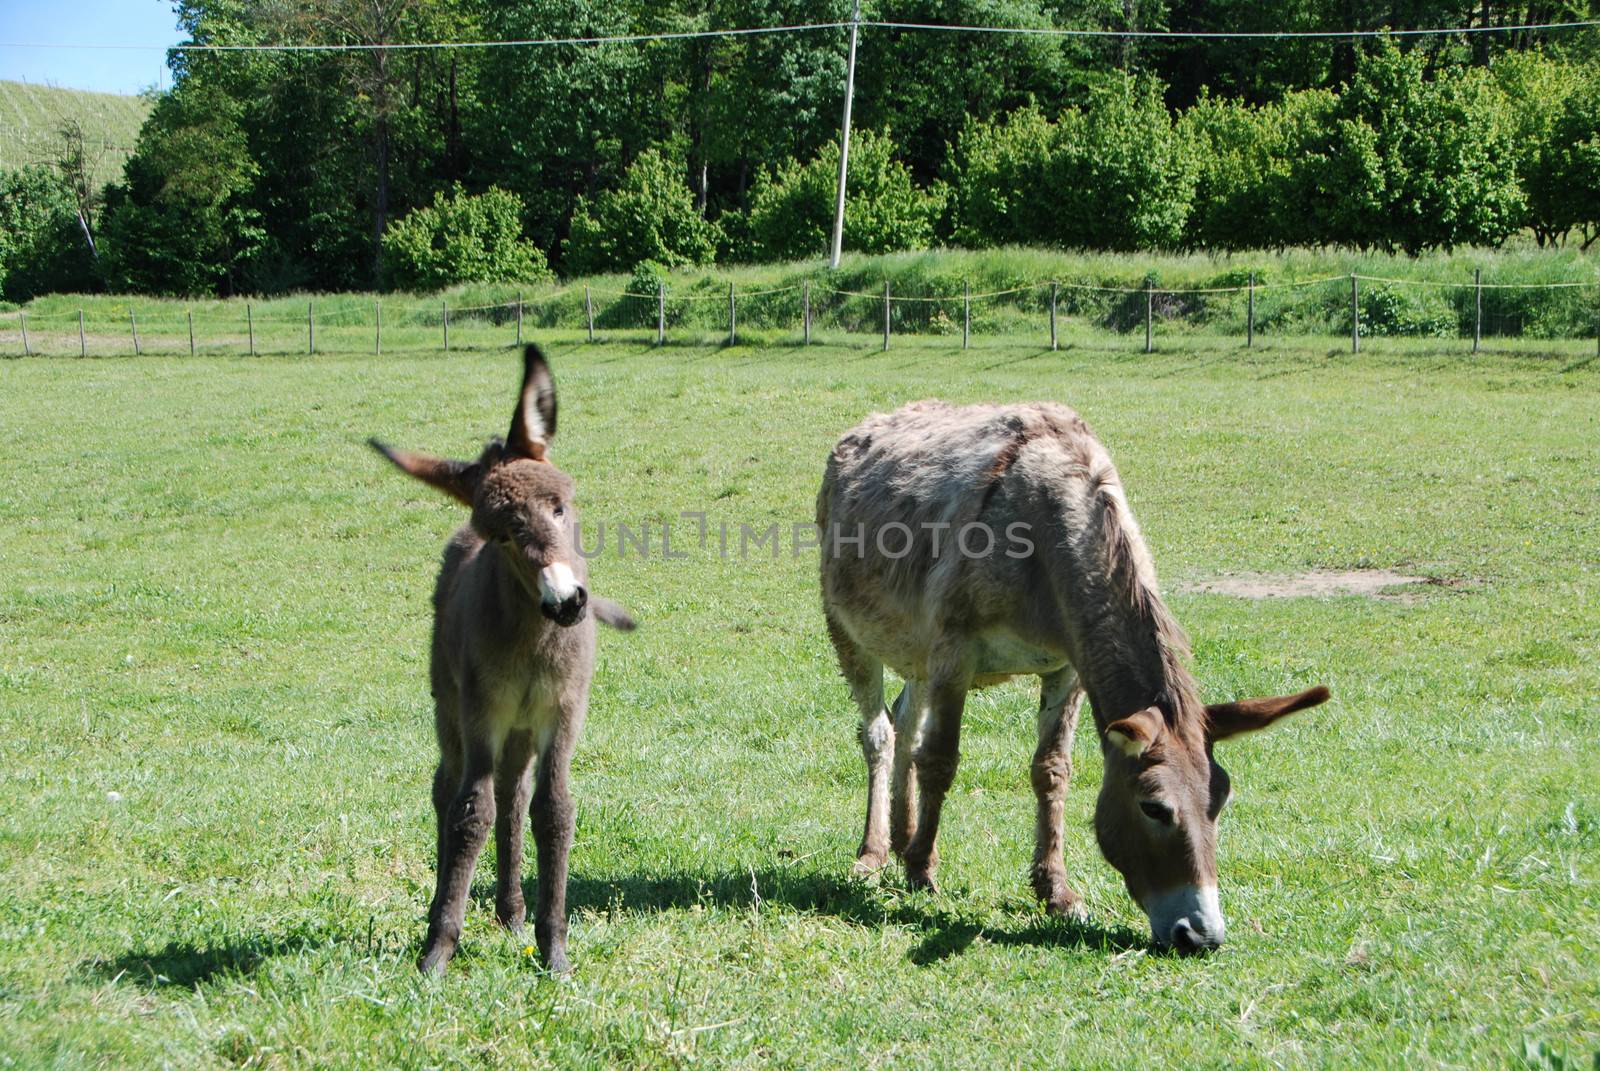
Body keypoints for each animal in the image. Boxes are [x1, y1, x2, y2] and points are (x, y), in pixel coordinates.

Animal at [369, 347, 630, 973]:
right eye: (503, 535)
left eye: (559, 507)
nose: (567, 602)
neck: (534, 638)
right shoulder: (483, 710)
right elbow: (471, 812)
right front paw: (437, 951)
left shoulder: (563, 711)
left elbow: (553, 811)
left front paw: (553, 951)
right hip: (454, 709)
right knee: (449, 789)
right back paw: (447, 906)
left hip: (521, 727)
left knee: (514, 797)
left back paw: (511, 913)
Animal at [819, 400, 1331, 954]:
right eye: (1154, 808)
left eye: (1221, 801)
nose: (1201, 936)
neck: (1044, 538)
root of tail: (872, 423)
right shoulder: (955, 652)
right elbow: (940, 760)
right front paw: (921, 869)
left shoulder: (1066, 667)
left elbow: (1052, 770)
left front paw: (1056, 891)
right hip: (849, 630)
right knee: (880, 734)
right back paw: (874, 853)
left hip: (917, 653)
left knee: (906, 719)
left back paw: (901, 832)